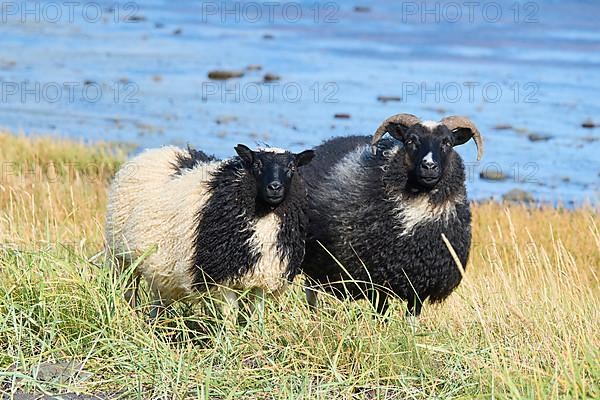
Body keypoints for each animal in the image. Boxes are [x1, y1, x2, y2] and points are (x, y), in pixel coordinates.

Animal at [106, 144, 316, 322]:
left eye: (292, 167)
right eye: (257, 164)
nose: (274, 187)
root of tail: (156, 151)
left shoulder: (263, 277)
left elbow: (257, 316)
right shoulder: (221, 279)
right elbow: (230, 317)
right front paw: (230, 341)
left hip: (159, 266)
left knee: (158, 300)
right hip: (121, 257)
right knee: (129, 292)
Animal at [300, 114, 482, 318]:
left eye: (448, 142)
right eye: (410, 140)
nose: (429, 166)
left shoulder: (421, 282)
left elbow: (412, 316)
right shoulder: (377, 280)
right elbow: (380, 313)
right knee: (311, 293)